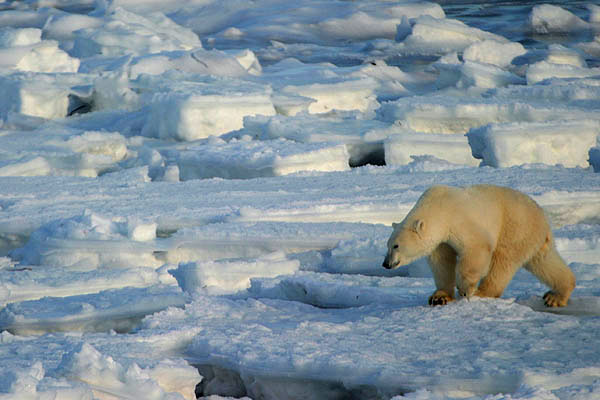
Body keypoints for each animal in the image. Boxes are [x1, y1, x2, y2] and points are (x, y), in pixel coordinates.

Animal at [384, 184, 576, 306]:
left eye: (396, 246)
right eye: (388, 245)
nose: (385, 264)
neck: (438, 208)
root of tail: (543, 216)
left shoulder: (459, 220)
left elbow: (476, 247)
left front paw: (465, 289)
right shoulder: (441, 240)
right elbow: (442, 262)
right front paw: (439, 297)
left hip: (515, 227)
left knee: (503, 262)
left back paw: (482, 292)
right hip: (532, 238)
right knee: (544, 261)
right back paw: (556, 296)